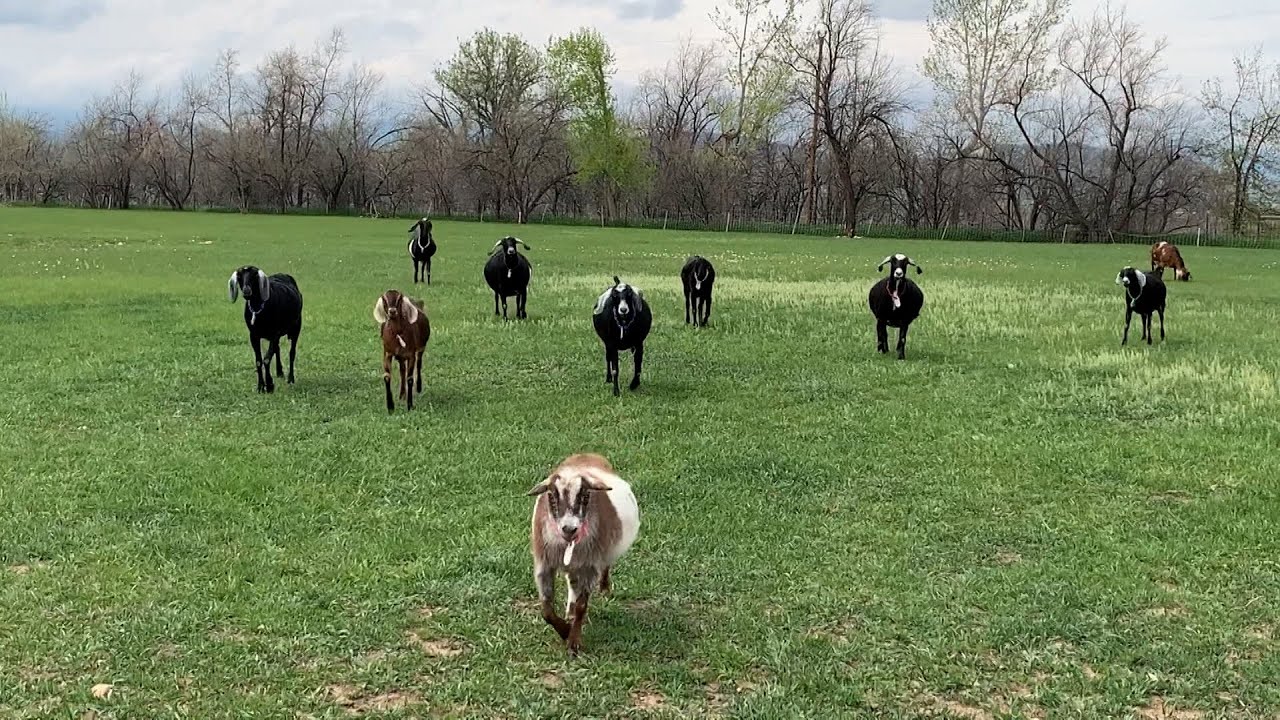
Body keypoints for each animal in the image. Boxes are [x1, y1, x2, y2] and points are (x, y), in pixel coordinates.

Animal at [527, 452, 640, 657]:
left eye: (586, 495)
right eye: (551, 495)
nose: (569, 528)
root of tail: (588, 455)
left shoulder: (590, 565)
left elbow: (582, 606)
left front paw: (573, 642)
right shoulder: (544, 564)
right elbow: (546, 610)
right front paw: (565, 630)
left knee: (604, 567)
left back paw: (604, 589)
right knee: (572, 582)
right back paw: (569, 611)